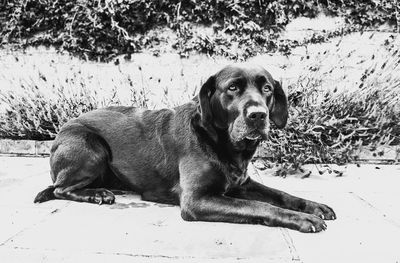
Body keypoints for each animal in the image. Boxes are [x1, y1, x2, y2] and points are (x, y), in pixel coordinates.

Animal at [33, 63, 334, 233]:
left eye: (268, 88)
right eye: (233, 88)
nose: (258, 115)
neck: (219, 141)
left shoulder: (243, 183)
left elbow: (280, 195)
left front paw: (313, 207)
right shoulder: (196, 200)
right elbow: (260, 206)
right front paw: (302, 219)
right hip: (90, 146)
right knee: (60, 189)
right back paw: (97, 194)